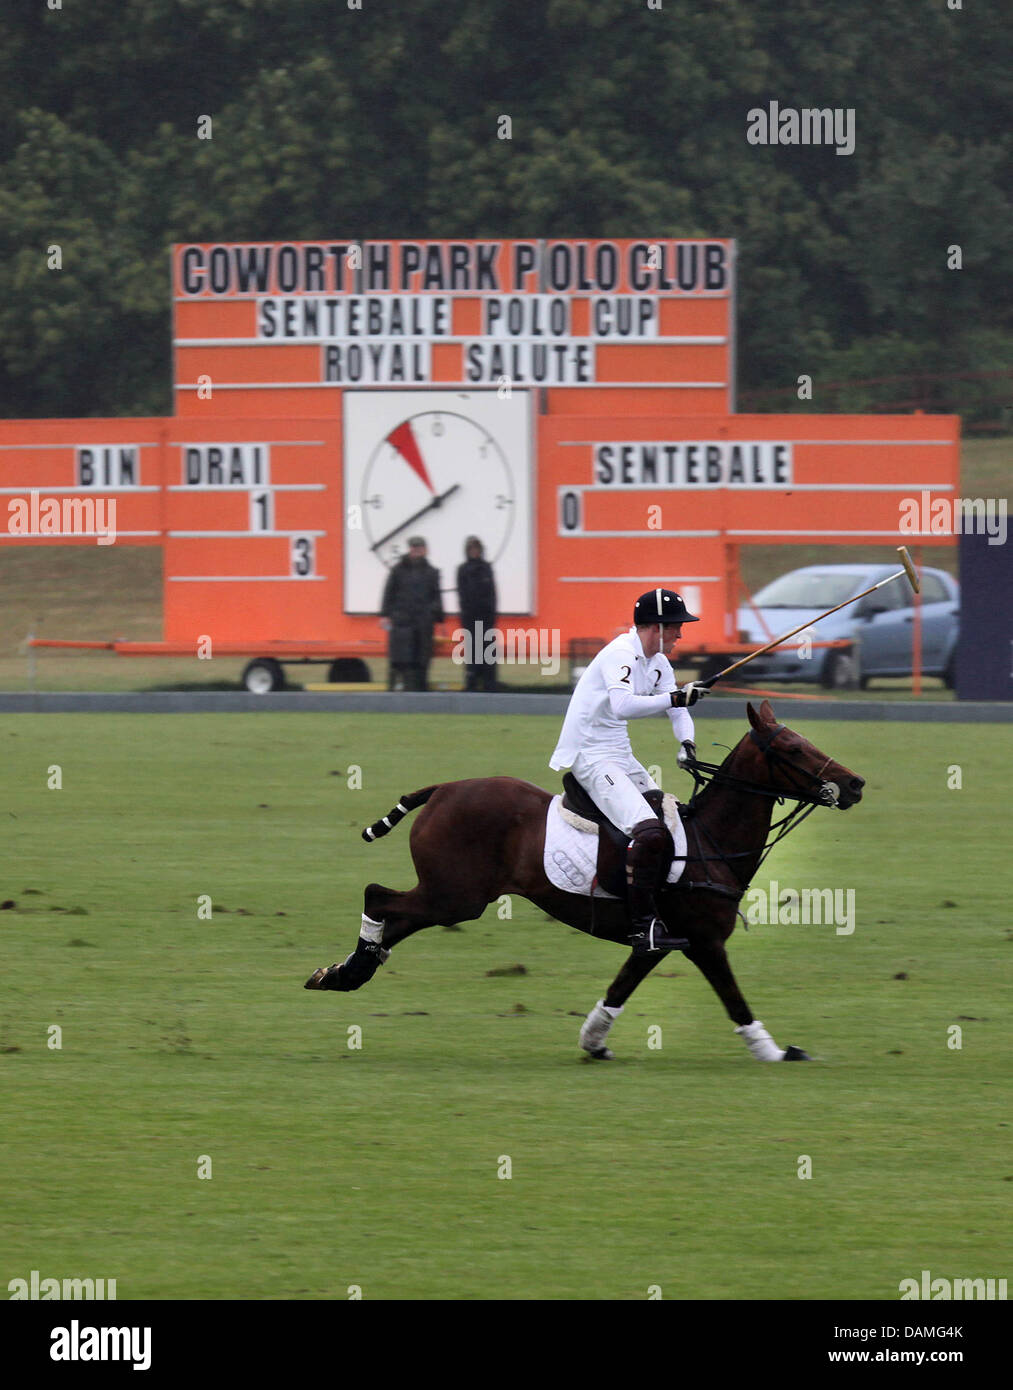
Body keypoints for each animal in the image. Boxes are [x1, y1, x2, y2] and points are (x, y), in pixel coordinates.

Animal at [302, 700, 861, 1056]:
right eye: (793, 749)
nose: (855, 784)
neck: (710, 840)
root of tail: (441, 789)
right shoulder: (703, 941)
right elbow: (735, 1000)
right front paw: (775, 1052)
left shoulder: (657, 944)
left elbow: (619, 988)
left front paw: (594, 1042)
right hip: (454, 896)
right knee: (378, 896)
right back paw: (346, 970)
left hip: (450, 894)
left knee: (392, 920)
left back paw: (343, 973)